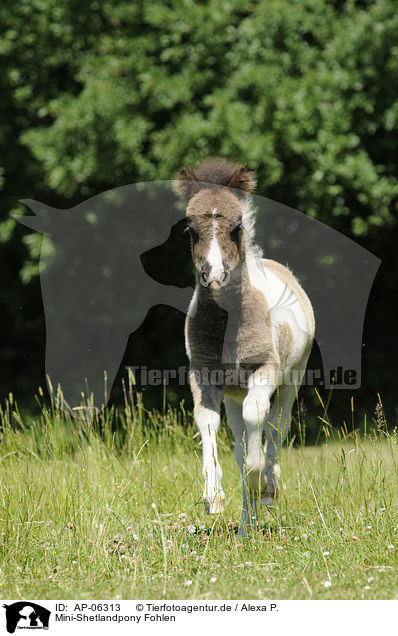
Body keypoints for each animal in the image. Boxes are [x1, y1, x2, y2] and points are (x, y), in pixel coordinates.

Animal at [174, 159, 314, 532]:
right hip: (233, 394)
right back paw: (246, 526)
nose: (213, 276)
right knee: (240, 442)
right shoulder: (203, 375)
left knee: (276, 427)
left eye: (236, 227)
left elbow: (258, 423)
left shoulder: (263, 369)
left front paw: (259, 481)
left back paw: (268, 489)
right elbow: (207, 423)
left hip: (292, 378)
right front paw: (213, 497)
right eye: (190, 230)